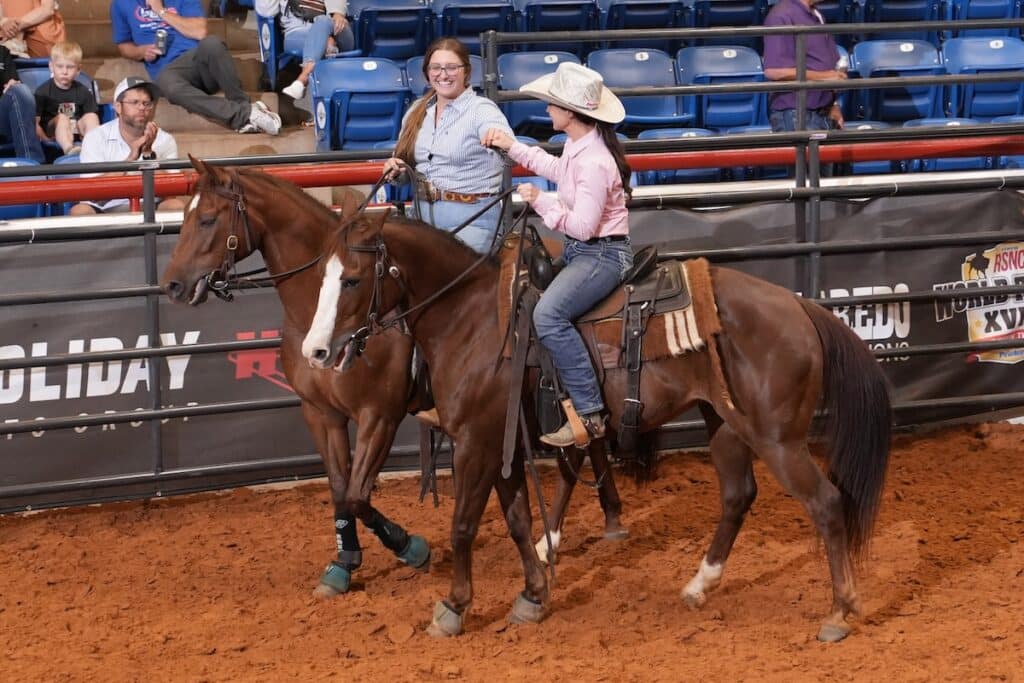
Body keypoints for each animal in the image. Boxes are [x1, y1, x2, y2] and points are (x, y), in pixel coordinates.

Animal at [160, 159, 432, 597]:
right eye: (185, 215)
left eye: (207, 219)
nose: (172, 284)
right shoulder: (321, 413)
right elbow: (340, 489)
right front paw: (344, 563)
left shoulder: (379, 416)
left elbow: (358, 494)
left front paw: (411, 546)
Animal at [300, 210, 893, 642]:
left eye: (351, 279)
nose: (316, 351)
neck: (472, 322)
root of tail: (802, 307)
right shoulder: (498, 443)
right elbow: (517, 521)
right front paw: (533, 595)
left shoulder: (474, 442)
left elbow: (464, 525)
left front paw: (453, 607)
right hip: (724, 422)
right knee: (737, 496)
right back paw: (700, 585)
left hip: (778, 437)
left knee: (826, 504)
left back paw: (840, 612)